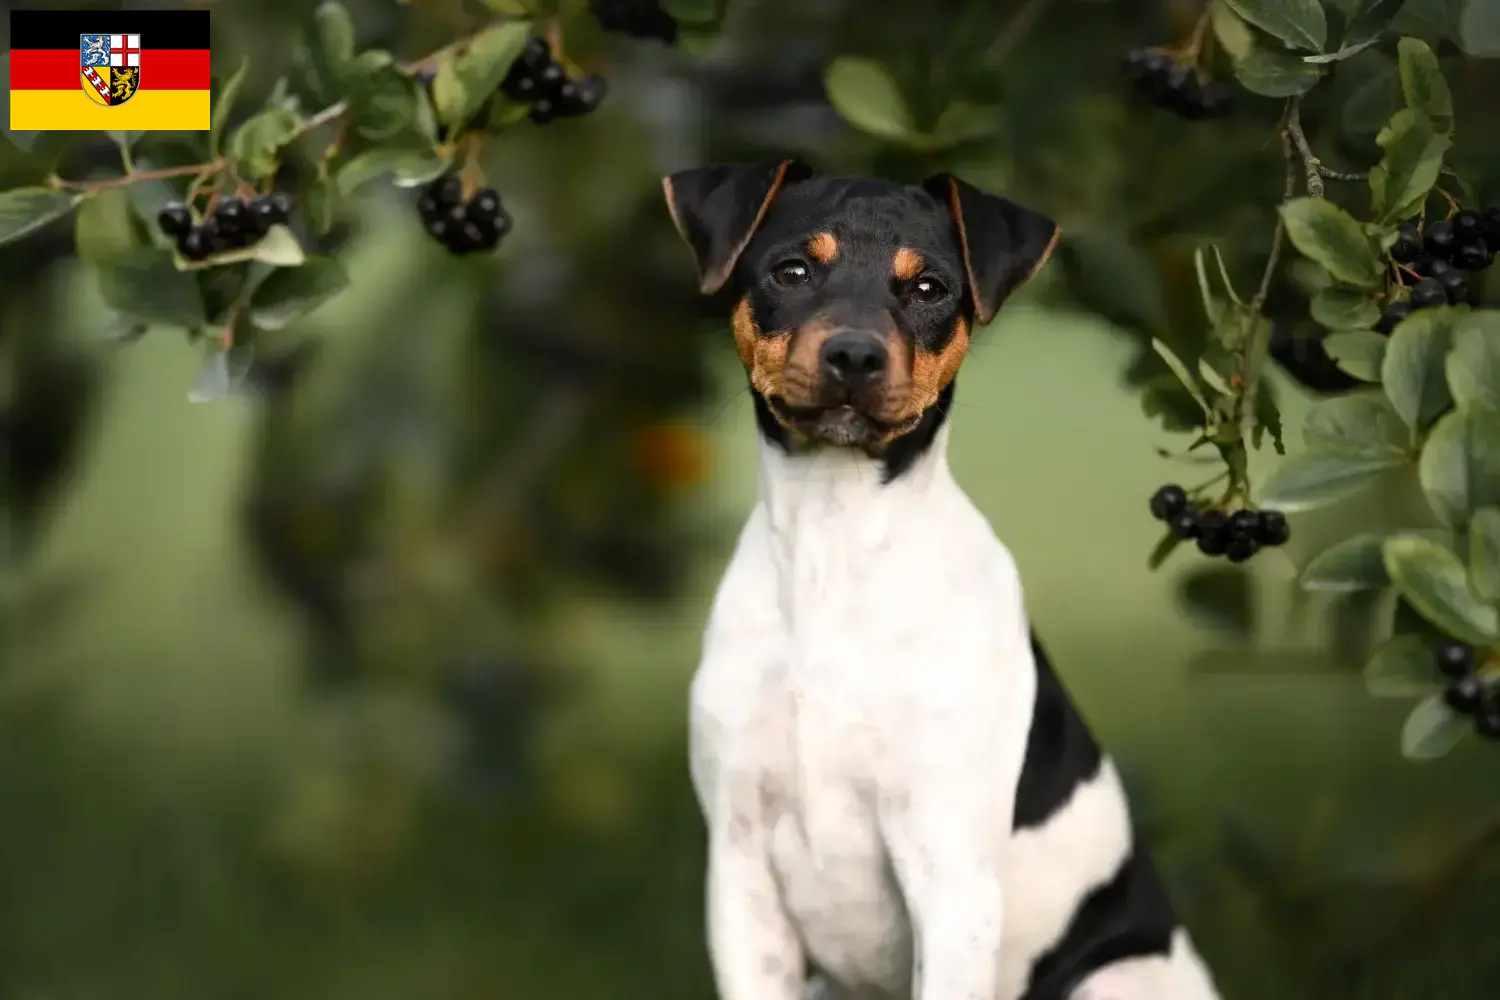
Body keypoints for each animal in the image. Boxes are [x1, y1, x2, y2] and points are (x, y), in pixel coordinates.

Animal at [663, 164, 1224, 1000]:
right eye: (791, 271)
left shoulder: (951, 882)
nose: (855, 357)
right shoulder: (741, 880)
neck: (835, 551)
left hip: (1111, 981)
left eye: (929, 288)